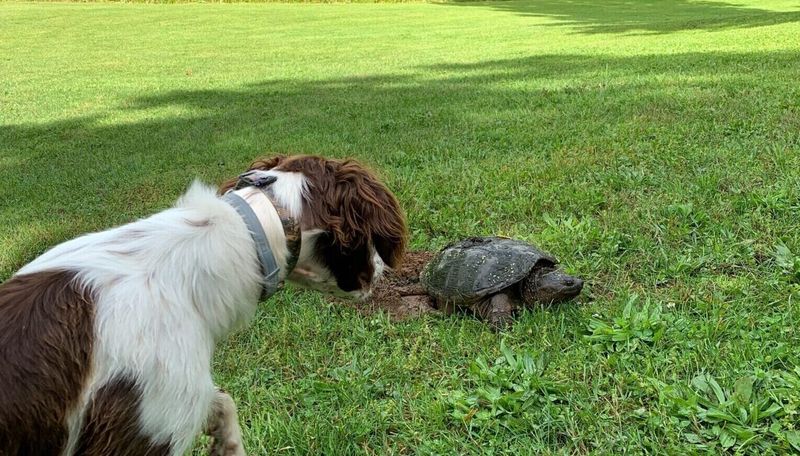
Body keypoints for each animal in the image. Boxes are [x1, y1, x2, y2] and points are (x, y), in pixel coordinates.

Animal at [0, 155, 406, 454]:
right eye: (370, 240)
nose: (384, 270)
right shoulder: (147, 424)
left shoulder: (187, 395)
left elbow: (223, 402)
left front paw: (228, 446)